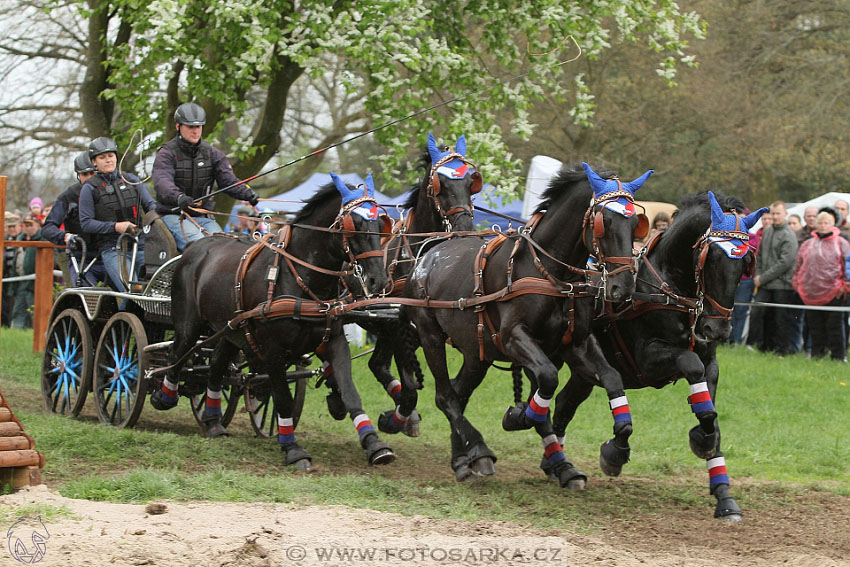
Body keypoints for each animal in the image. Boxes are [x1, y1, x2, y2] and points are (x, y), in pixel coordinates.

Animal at [152, 173, 390, 470]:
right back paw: (164, 395)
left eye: (381, 224)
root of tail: (197, 246)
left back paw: (213, 420)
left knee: (216, 365)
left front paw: (374, 443)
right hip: (189, 323)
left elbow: (349, 391)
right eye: (354, 225)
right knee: (177, 354)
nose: (379, 280)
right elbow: (284, 399)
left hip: (231, 329)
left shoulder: (333, 342)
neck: (300, 277)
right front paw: (293, 448)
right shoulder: (273, 350)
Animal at [404, 163, 648, 484]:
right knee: (445, 396)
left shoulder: (575, 343)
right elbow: (547, 382)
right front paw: (519, 417)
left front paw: (617, 448)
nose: (623, 288)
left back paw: (463, 458)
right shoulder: (514, 338)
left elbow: (611, 378)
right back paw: (478, 449)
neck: (550, 272)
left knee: (459, 391)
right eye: (603, 222)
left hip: (477, 352)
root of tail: (429, 254)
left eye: (635, 225)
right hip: (431, 335)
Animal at [548, 193, 764, 520]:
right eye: (712, 258)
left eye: (744, 265)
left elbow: (710, 413)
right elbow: (690, 364)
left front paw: (723, 493)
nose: (718, 328)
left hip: (584, 372)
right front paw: (615, 451)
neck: (669, 287)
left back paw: (556, 464)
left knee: (563, 404)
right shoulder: (648, 361)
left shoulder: (710, 362)